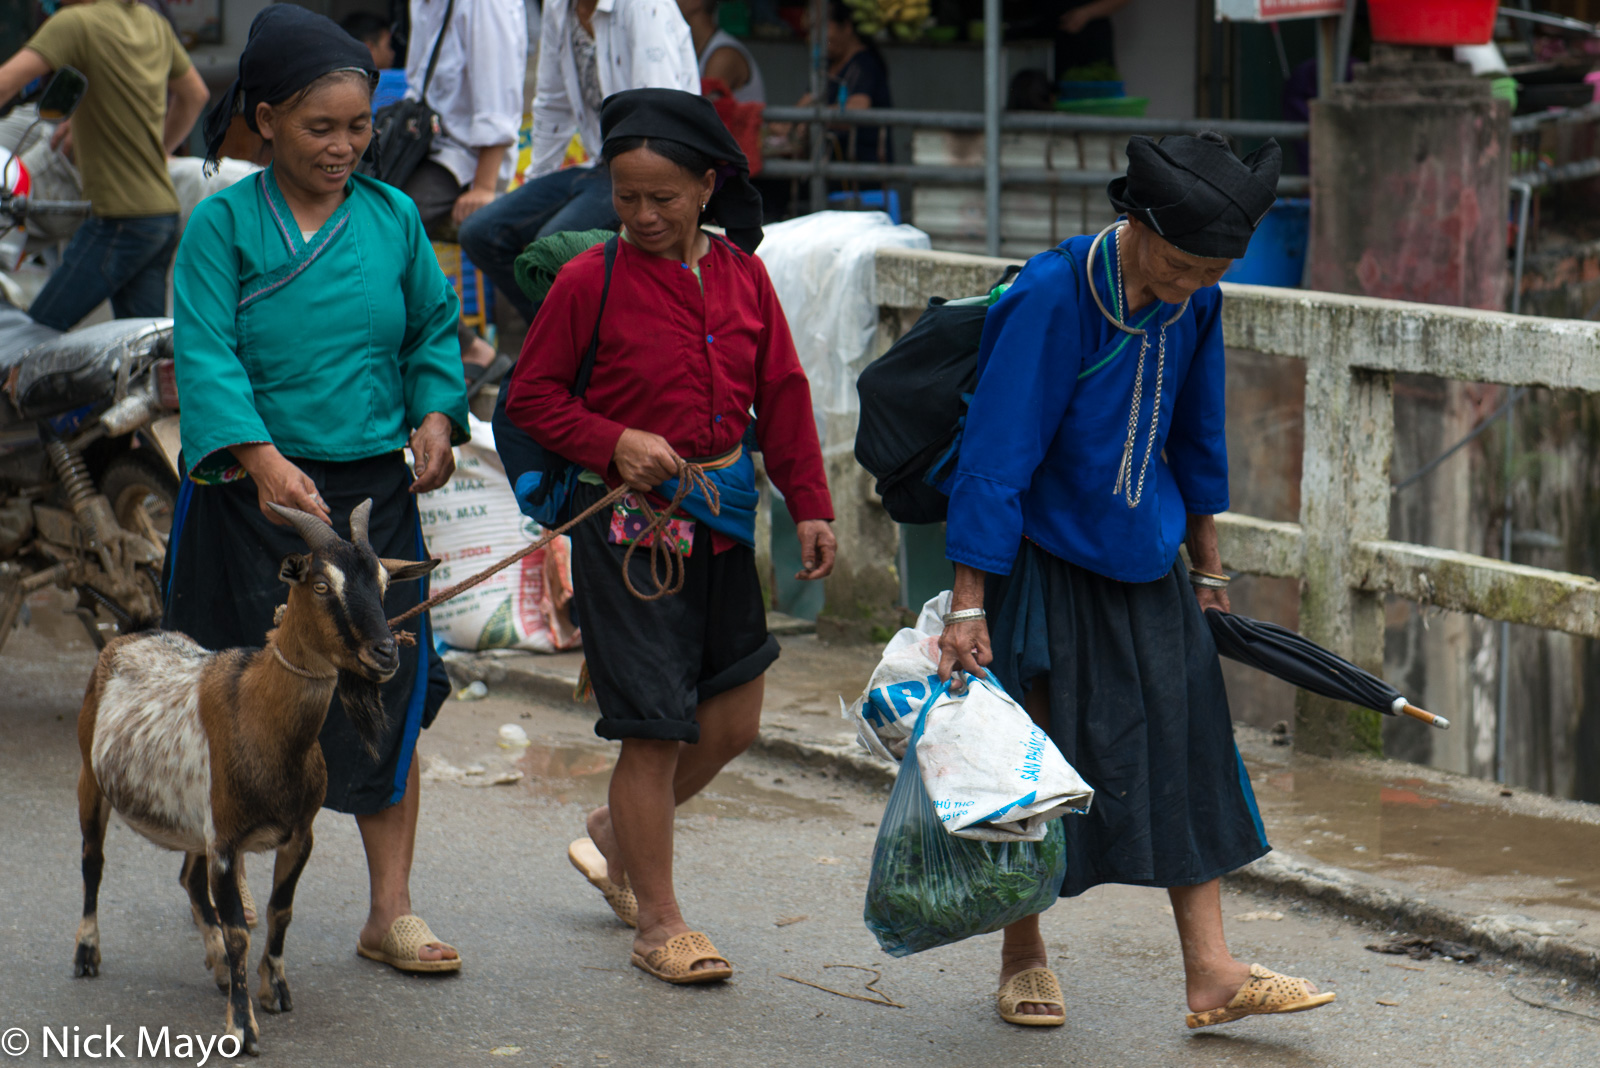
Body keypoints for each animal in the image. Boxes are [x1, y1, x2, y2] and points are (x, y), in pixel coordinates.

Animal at [70, 502, 438, 1048]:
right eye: (321, 585)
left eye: (385, 583)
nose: (385, 653)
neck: (260, 713)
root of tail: (136, 629)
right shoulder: (225, 843)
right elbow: (240, 931)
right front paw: (241, 1027)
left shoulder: (297, 835)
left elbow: (278, 912)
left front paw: (275, 990)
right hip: (89, 778)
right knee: (93, 861)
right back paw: (87, 953)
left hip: (194, 822)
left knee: (187, 877)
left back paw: (220, 967)